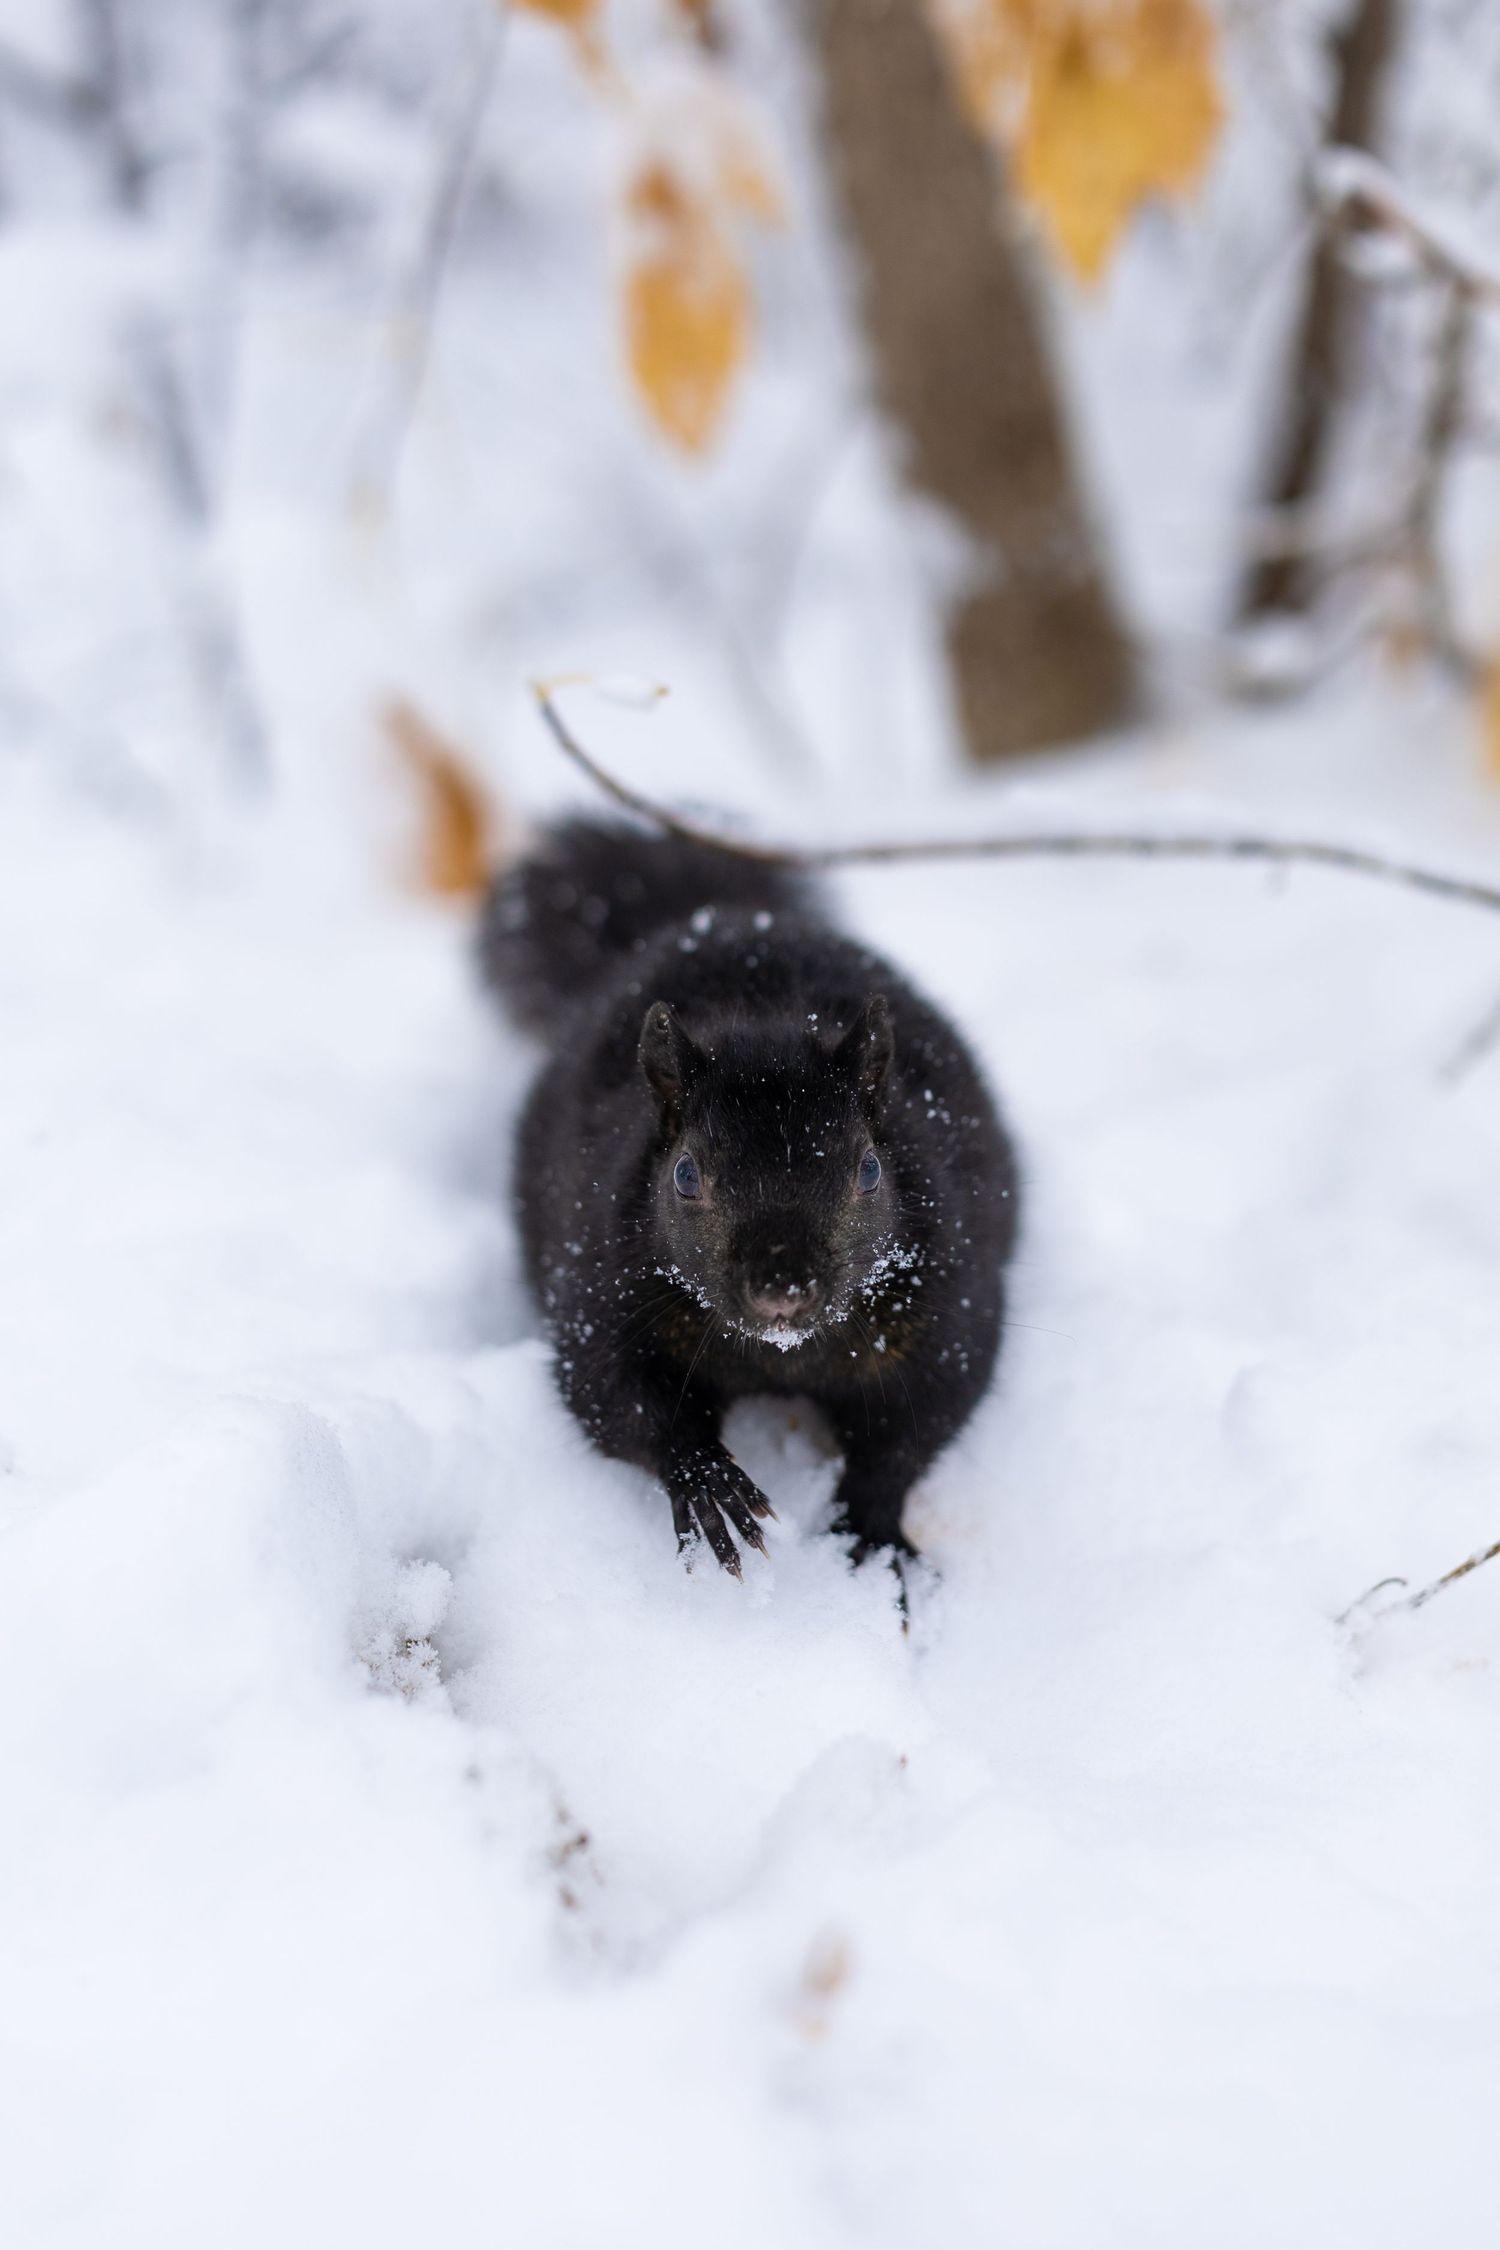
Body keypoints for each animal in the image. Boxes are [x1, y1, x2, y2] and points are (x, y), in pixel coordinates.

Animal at [479, 817, 1018, 1576]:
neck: (780, 1353)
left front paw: (872, 1536)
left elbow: (910, 1432)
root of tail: (714, 916)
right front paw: (711, 1486)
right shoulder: (605, 1292)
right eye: (685, 1175)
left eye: (870, 1170)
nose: (782, 1289)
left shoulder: (944, 1308)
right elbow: (617, 1400)